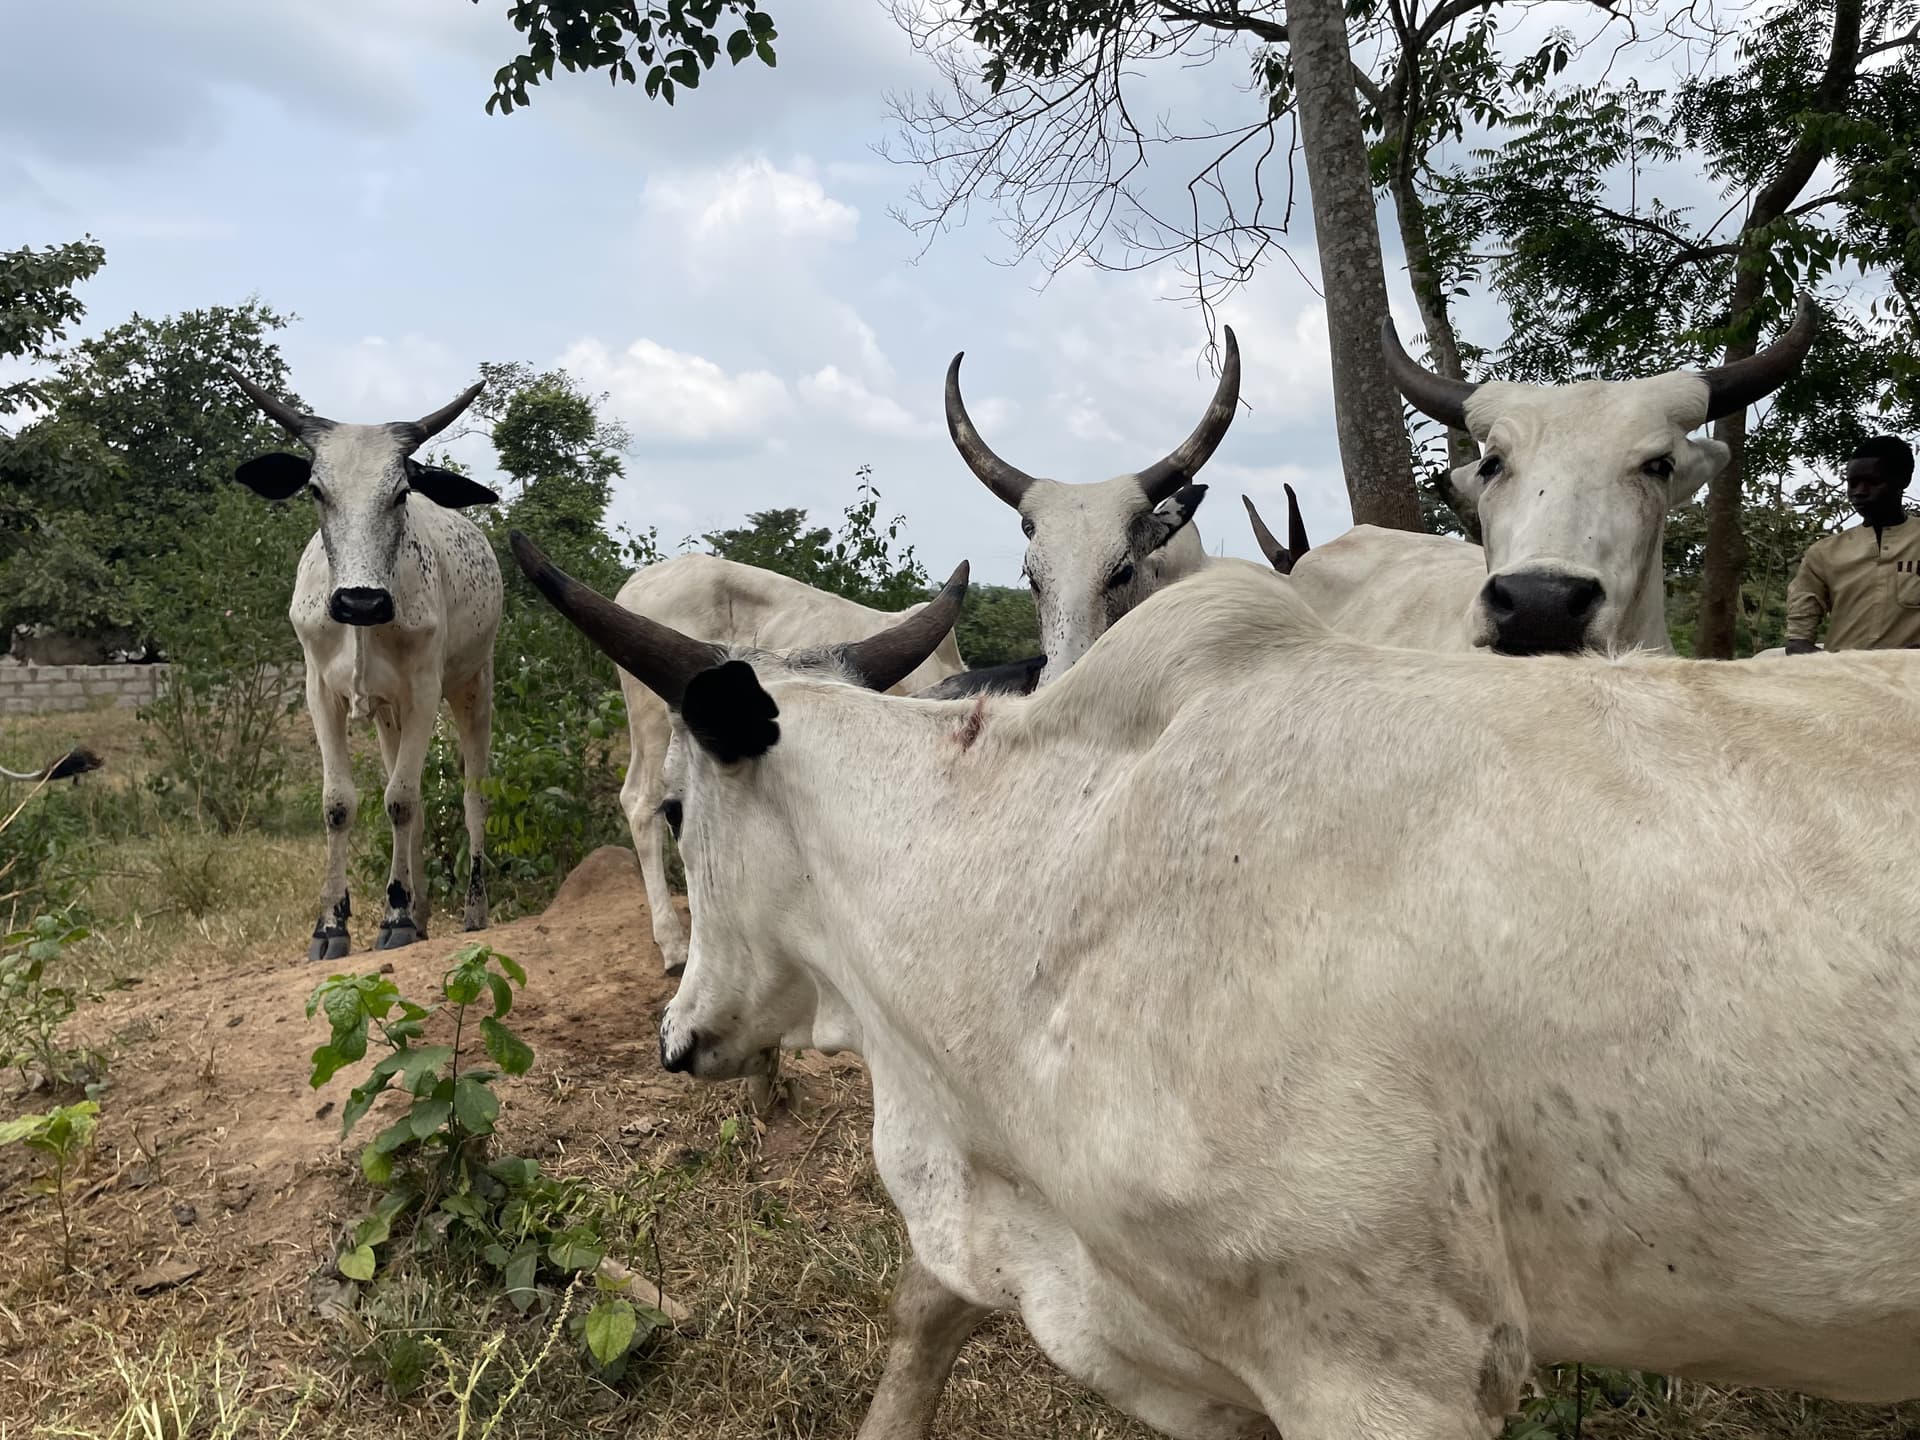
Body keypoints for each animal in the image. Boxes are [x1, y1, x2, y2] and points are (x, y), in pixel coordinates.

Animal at [227, 371, 502, 960]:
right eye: (316, 490)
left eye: (400, 492)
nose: (360, 601)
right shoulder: (320, 693)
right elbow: (340, 803)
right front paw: (333, 924)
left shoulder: (424, 691)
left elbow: (400, 800)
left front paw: (393, 915)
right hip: (387, 713)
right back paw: (420, 912)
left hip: (472, 684)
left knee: (472, 796)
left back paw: (471, 910)